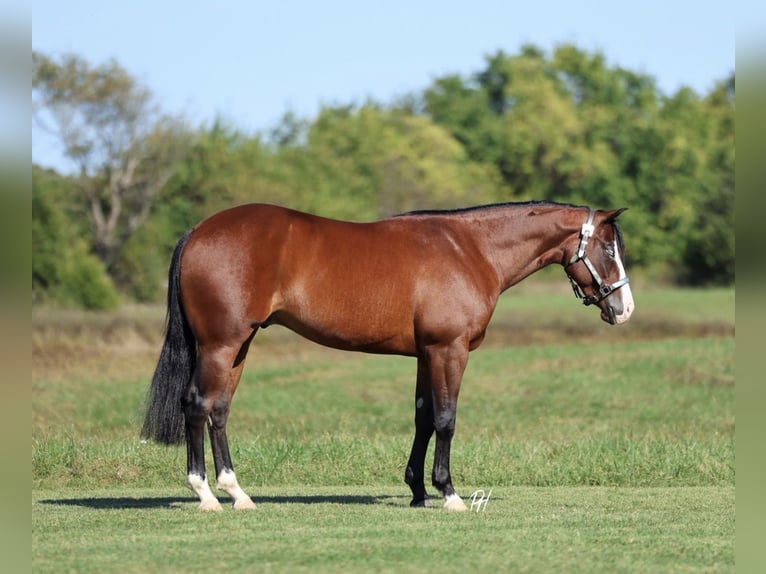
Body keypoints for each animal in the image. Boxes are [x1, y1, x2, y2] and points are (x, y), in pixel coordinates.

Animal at [141, 200, 634, 511]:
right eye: (608, 249)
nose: (624, 309)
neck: (471, 249)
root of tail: (199, 231)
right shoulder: (449, 350)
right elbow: (446, 419)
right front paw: (448, 493)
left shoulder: (425, 354)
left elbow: (422, 417)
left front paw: (417, 490)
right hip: (220, 345)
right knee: (197, 406)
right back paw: (205, 495)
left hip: (238, 347)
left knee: (219, 411)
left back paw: (237, 493)